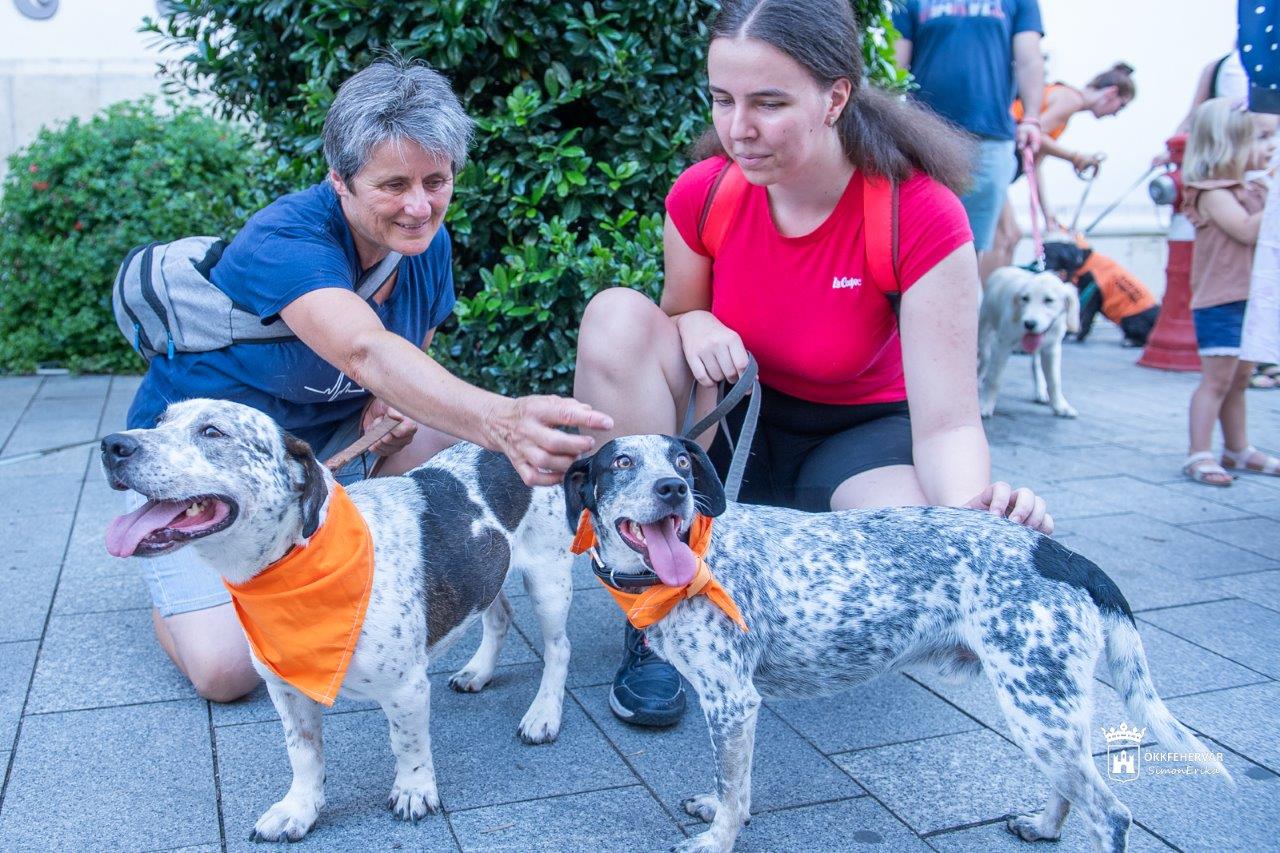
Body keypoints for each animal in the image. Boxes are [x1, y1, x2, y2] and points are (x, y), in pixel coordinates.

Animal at [102, 399, 573, 835]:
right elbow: (304, 754)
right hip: (485, 570)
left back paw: (543, 715)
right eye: (159, 421)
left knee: (558, 649)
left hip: (549, 582)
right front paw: (299, 809)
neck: (291, 564)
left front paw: (414, 791)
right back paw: (479, 671)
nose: (112, 445)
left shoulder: (406, 688)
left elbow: (407, 745)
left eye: (213, 431)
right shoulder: (285, 689)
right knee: (500, 616)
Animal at [570, 435, 1228, 845]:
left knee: (1111, 816)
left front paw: (716, 839)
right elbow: (733, 784)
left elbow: (734, 791)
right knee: (1073, 789)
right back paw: (1043, 827)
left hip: (1036, 705)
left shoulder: (733, 700)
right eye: (621, 463)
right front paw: (719, 810)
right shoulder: (735, 710)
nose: (673, 490)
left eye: (682, 464)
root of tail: (1061, 553)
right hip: (1049, 712)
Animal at [977, 262, 1080, 414]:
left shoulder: (1051, 349)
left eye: (1048, 300)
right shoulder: (1001, 345)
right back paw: (978, 378)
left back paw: (1040, 392)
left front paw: (1060, 406)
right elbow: (994, 378)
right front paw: (985, 405)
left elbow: (1054, 381)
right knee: (984, 358)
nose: (1029, 324)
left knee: (1035, 366)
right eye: (1025, 298)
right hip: (984, 327)